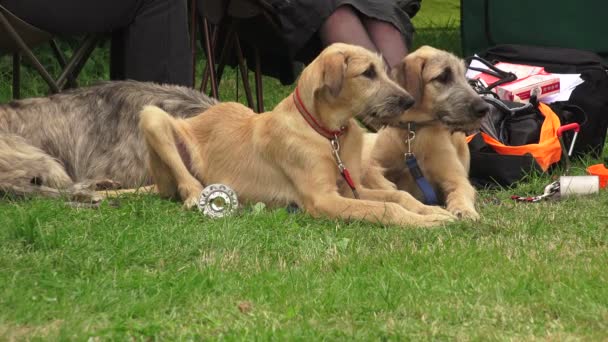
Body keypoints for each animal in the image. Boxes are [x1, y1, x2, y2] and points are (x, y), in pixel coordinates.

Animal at [364, 46, 492, 219]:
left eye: (463, 75)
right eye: (443, 76)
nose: (484, 108)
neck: (414, 130)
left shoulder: (457, 178)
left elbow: (461, 192)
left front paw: (464, 210)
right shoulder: (374, 161)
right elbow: (370, 173)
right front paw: (388, 187)